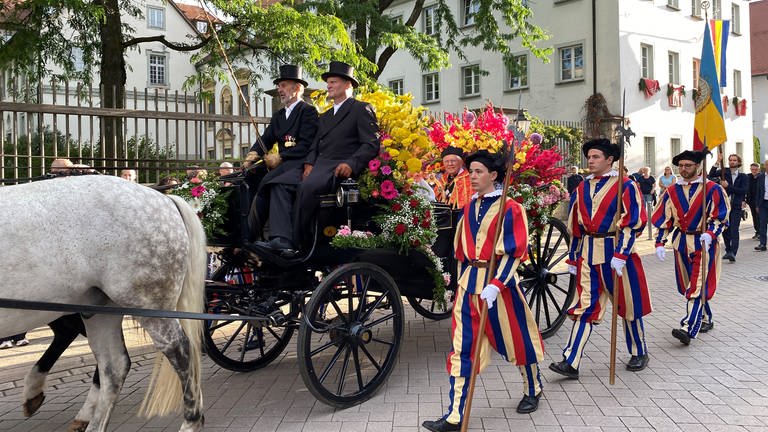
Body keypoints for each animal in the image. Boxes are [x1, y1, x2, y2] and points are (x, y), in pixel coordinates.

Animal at [0, 176, 206, 432]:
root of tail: (164, 198)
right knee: (113, 366)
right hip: (99, 309)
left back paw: (191, 421)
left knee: (180, 350)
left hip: (148, 303)